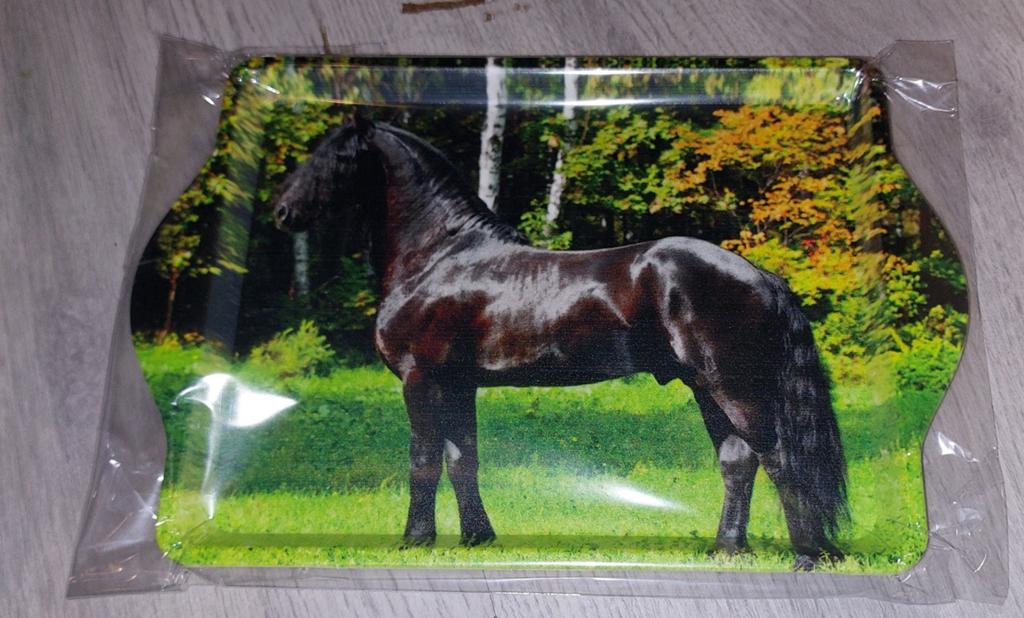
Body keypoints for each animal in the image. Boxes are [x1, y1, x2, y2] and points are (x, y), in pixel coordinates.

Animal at [270, 116, 848, 569]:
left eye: (335, 156)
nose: (281, 213)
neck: (438, 256)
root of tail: (760, 275)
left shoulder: (422, 379)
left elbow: (424, 460)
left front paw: (416, 540)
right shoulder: (458, 385)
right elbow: (462, 459)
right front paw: (477, 538)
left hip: (734, 385)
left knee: (777, 456)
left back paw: (806, 555)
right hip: (706, 386)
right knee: (737, 459)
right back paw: (727, 548)